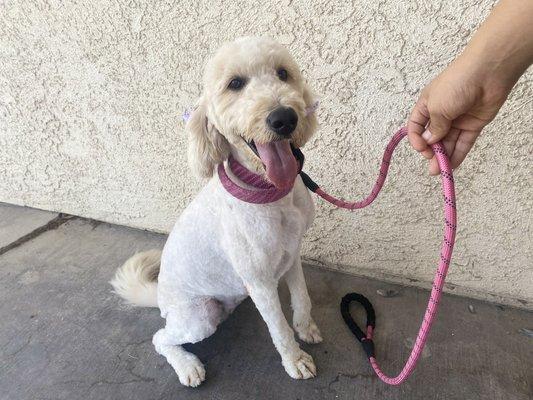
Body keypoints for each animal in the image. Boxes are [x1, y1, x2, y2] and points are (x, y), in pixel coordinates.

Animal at [109, 37, 320, 388]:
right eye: (235, 84)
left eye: (283, 74)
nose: (284, 118)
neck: (270, 192)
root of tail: (162, 300)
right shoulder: (260, 282)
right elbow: (279, 328)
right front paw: (295, 359)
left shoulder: (292, 254)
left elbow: (302, 298)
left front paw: (306, 328)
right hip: (199, 317)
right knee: (160, 338)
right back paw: (187, 365)